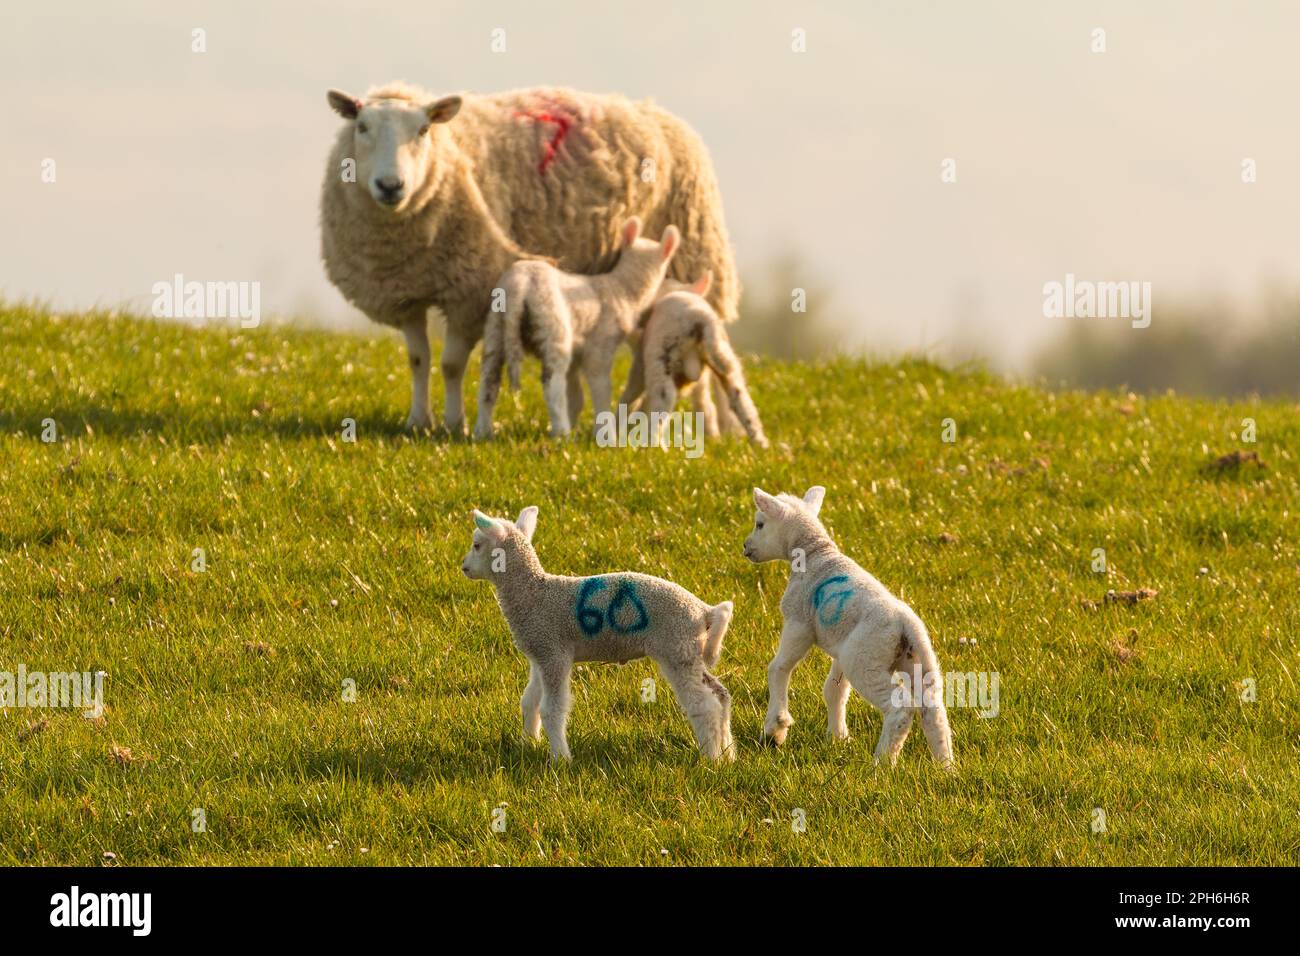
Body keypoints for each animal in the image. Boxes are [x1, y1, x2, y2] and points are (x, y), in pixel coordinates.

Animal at [465, 502, 733, 764]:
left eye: (477, 545)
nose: (464, 567)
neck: (533, 593)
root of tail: (704, 611)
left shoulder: (554, 653)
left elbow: (552, 709)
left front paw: (560, 759)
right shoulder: (539, 653)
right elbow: (529, 701)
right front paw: (528, 743)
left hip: (676, 647)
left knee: (704, 705)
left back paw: (711, 758)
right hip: (689, 651)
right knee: (720, 695)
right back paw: (728, 754)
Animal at [475, 218, 681, 439]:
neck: (622, 290)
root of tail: (519, 284)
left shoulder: (577, 354)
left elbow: (576, 394)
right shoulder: (601, 346)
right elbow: (601, 387)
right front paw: (605, 433)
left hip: (496, 324)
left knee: (489, 380)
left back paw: (483, 432)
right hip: (552, 324)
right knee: (553, 384)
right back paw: (561, 433)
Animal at [616, 270, 764, 447]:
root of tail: (699, 318)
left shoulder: (640, 363)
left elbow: (631, 394)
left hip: (660, 358)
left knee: (663, 400)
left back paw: (652, 445)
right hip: (723, 360)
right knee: (741, 402)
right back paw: (760, 444)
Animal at [743, 486, 956, 770]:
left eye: (760, 524)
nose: (745, 547)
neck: (815, 553)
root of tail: (905, 623)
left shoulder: (799, 622)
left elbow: (778, 668)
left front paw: (775, 729)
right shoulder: (840, 647)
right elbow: (834, 690)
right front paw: (838, 737)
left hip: (865, 658)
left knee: (900, 708)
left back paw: (883, 763)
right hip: (913, 659)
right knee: (933, 709)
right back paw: (945, 765)